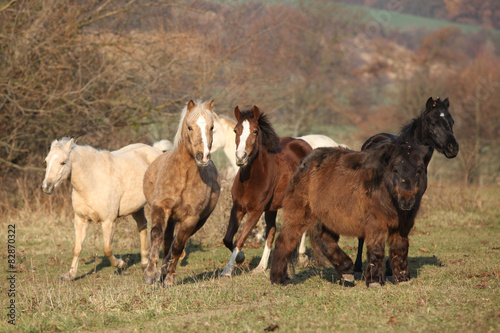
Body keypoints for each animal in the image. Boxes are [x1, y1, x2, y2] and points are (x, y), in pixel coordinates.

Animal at [42, 137, 162, 280]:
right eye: (46, 161)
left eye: (63, 162)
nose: (46, 187)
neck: (92, 182)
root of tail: (157, 150)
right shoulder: (80, 220)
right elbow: (77, 248)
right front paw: (70, 275)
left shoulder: (108, 222)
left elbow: (107, 249)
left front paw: (121, 264)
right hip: (136, 208)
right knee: (142, 226)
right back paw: (144, 264)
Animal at [221, 105, 310, 276]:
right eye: (236, 130)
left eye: (255, 131)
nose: (241, 157)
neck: (250, 179)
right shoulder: (238, 208)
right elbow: (228, 239)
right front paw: (241, 258)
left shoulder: (255, 212)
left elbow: (240, 239)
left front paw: (227, 271)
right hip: (272, 208)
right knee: (271, 231)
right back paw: (261, 267)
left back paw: (302, 258)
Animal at [270, 139, 430, 286]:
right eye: (395, 170)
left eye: (419, 171)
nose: (407, 200)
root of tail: (304, 161)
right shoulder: (376, 224)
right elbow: (377, 250)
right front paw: (374, 281)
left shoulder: (403, 226)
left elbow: (400, 249)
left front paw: (403, 278)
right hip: (300, 212)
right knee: (286, 240)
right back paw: (278, 279)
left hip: (328, 217)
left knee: (324, 239)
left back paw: (346, 270)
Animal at [354, 96, 458, 278]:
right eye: (432, 123)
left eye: (451, 121)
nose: (453, 148)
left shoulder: (412, 200)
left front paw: (392, 269)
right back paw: (357, 268)